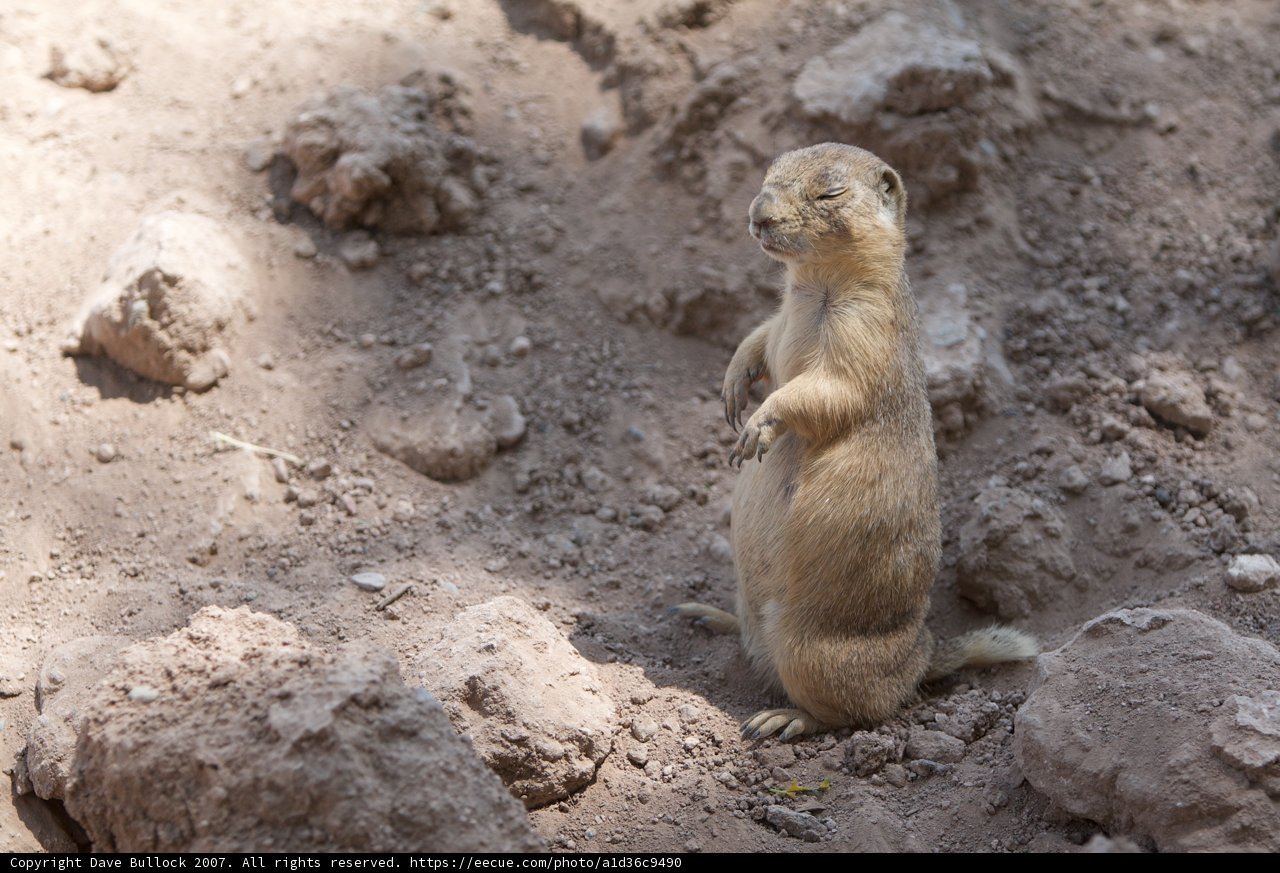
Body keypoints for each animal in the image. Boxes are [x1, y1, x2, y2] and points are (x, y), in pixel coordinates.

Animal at [674, 143, 1036, 740]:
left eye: (831, 192)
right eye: (769, 173)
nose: (758, 215)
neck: (811, 285)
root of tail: (921, 660)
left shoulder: (866, 332)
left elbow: (827, 389)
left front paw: (756, 427)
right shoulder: (780, 317)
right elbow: (759, 339)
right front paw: (733, 387)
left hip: (814, 653)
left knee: (855, 713)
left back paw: (781, 719)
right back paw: (706, 615)